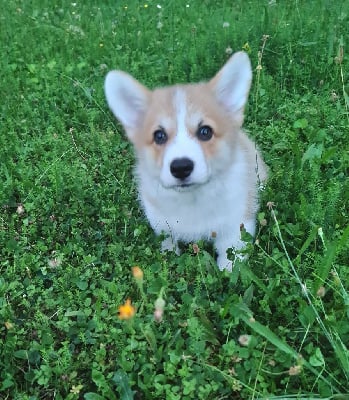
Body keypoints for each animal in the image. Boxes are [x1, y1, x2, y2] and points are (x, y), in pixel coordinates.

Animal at [103, 51, 266, 270]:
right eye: (159, 136)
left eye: (205, 131)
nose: (181, 167)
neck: (192, 198)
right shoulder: (162, 223)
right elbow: (168, 242)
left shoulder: (236, 225)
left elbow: (230, 257)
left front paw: (227, 271)